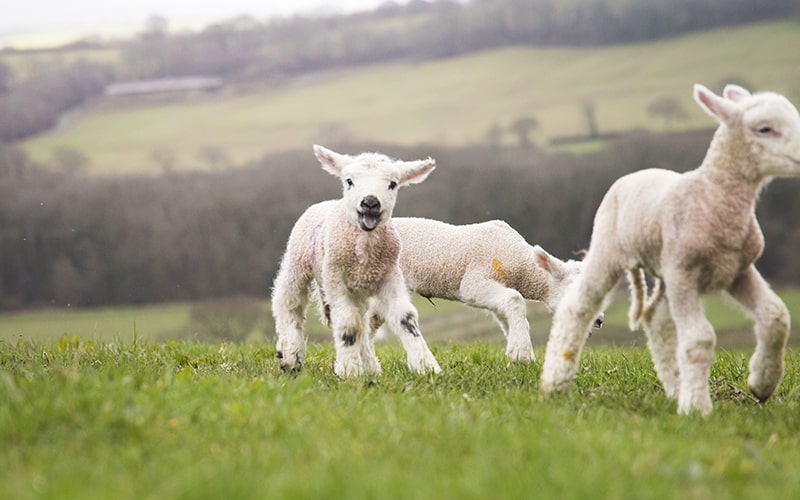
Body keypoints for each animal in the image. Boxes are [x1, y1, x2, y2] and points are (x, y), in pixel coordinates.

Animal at [272, 145, 440, 378]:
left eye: (392, 184)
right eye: (349, 181)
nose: (370, 202)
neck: (364, 254)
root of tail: (328, 202)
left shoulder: (390, 276)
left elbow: (405, 319)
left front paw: (426, 365)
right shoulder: (335, 278)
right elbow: (349, 324)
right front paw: (349, 371)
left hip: (357, 291)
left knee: (362, 321)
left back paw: (370, 365)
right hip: (297, 262)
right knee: (288, 302)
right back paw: (290, 354)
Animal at [368, 218, 600, 364]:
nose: (599, 321)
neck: (519, 263)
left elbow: (509, 313)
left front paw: (519, 351)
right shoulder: (473, 283)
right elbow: (515, 299)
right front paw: (522, 353)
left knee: (372, 317)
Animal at [536, 84, 800, 416]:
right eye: (764, 129)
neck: (711, 198)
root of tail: (635, 173)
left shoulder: (738, 271)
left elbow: (776, 316)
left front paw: (762, 384)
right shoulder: (683, 272)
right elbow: (700, 338)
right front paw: (698, 408)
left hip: (663, 271)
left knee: (658, 322)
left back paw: (676, 387)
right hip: (609, 252)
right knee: (578, 307)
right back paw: (555, 381)